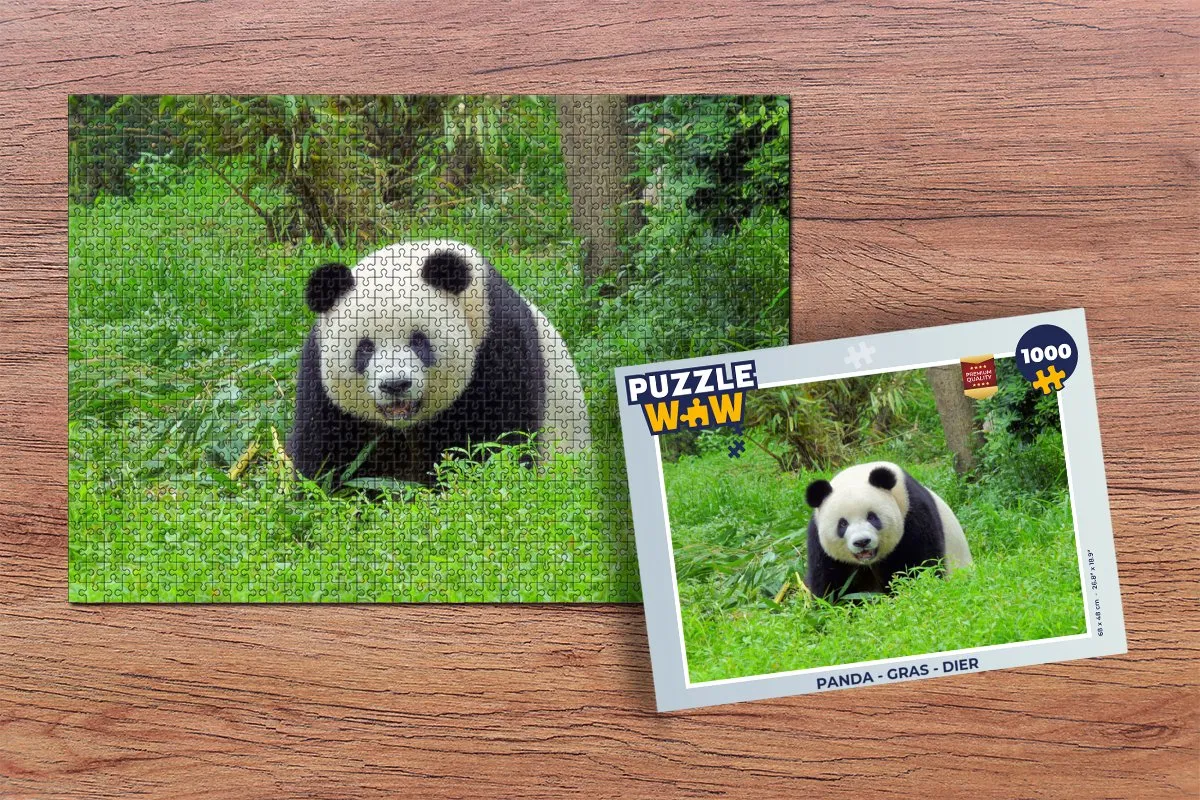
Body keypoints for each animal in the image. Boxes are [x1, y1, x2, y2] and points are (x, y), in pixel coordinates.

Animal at [286, 240, 590, 486]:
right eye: (365, 348)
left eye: (419, 342)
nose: (395, 385)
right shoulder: (320, 378)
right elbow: (326, 457)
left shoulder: (498, 345)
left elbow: (499, 441)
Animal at [803, 461, 972, 599]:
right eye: (842, 524)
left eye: (872, 517)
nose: (862, 542)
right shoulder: (818, 539)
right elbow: (829, 581)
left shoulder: (913, 513)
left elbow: (921, 564)